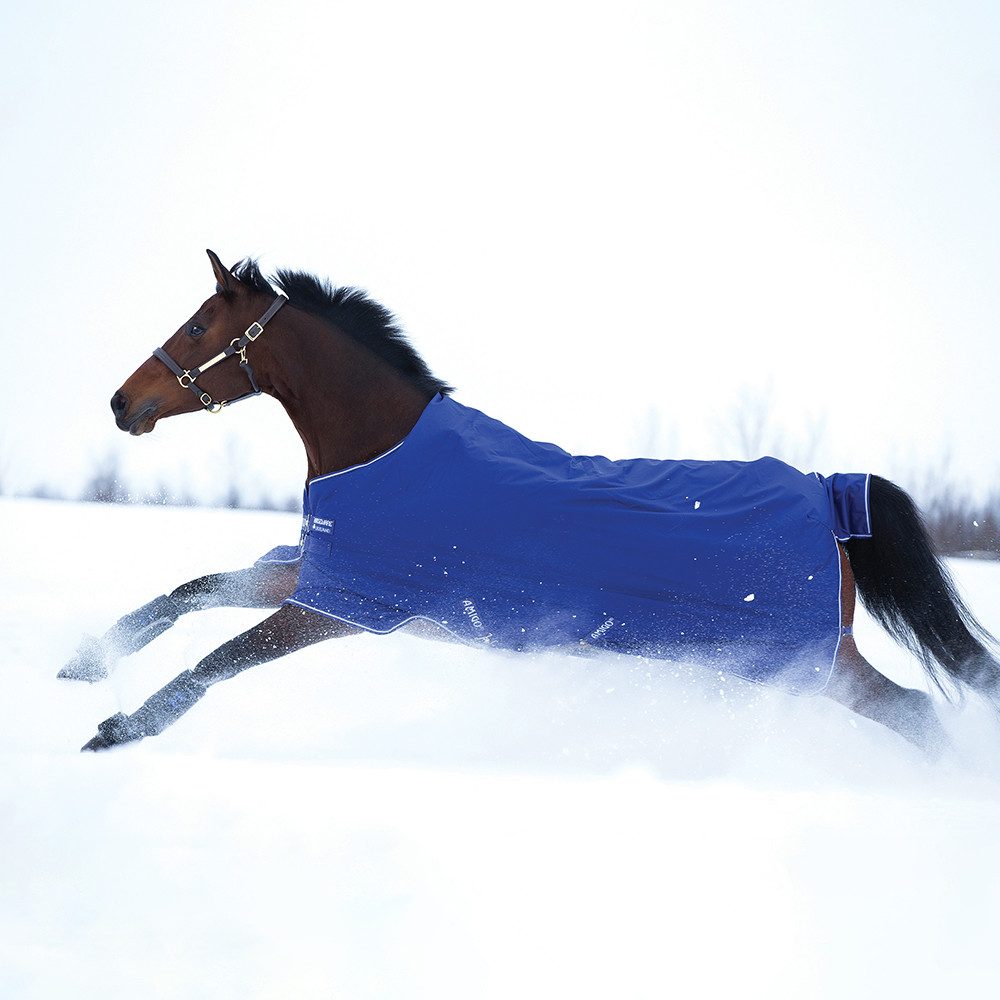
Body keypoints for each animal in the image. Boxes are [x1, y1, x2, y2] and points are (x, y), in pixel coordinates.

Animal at [67, 249, 1000, 755]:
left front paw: (117, 730)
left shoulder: (343, 606)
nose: (120, 403)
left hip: (813, 665)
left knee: (915, 711)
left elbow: (217, 660)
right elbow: (195, 589)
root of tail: (833, 498)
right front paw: (89, 658)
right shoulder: (327, 576)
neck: (384, 451)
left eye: (198, 326)